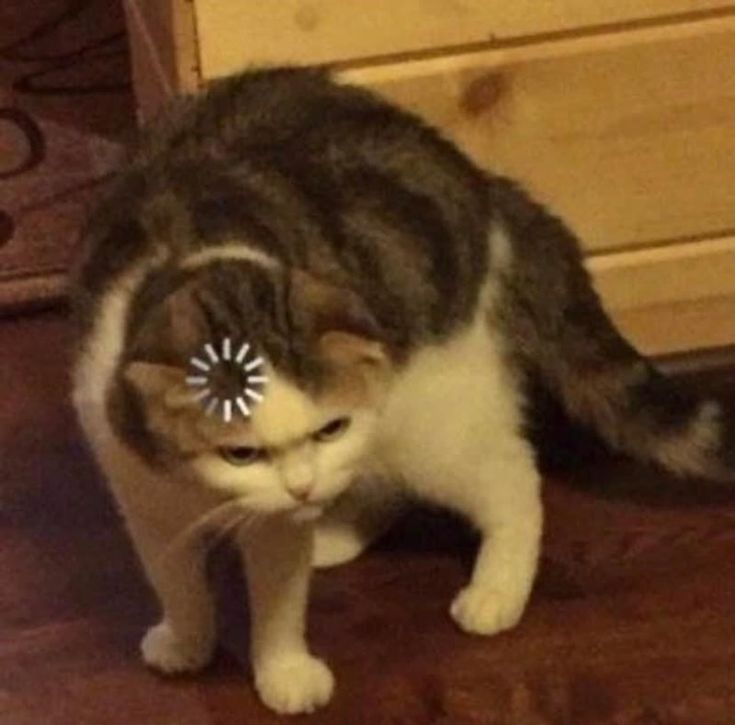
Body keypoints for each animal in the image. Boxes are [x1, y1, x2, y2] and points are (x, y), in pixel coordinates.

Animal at [70, 66, 735, 712]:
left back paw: (495, 589)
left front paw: (284, 672)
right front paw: (186, 641)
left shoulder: (292, 503)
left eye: (328, 427)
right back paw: (336, 534)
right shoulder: (142, 494)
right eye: (241, 452)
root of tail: (484, 186)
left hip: (429, 416)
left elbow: (278, 599)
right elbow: (175, 583)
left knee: (514, 480)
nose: (303, 488)